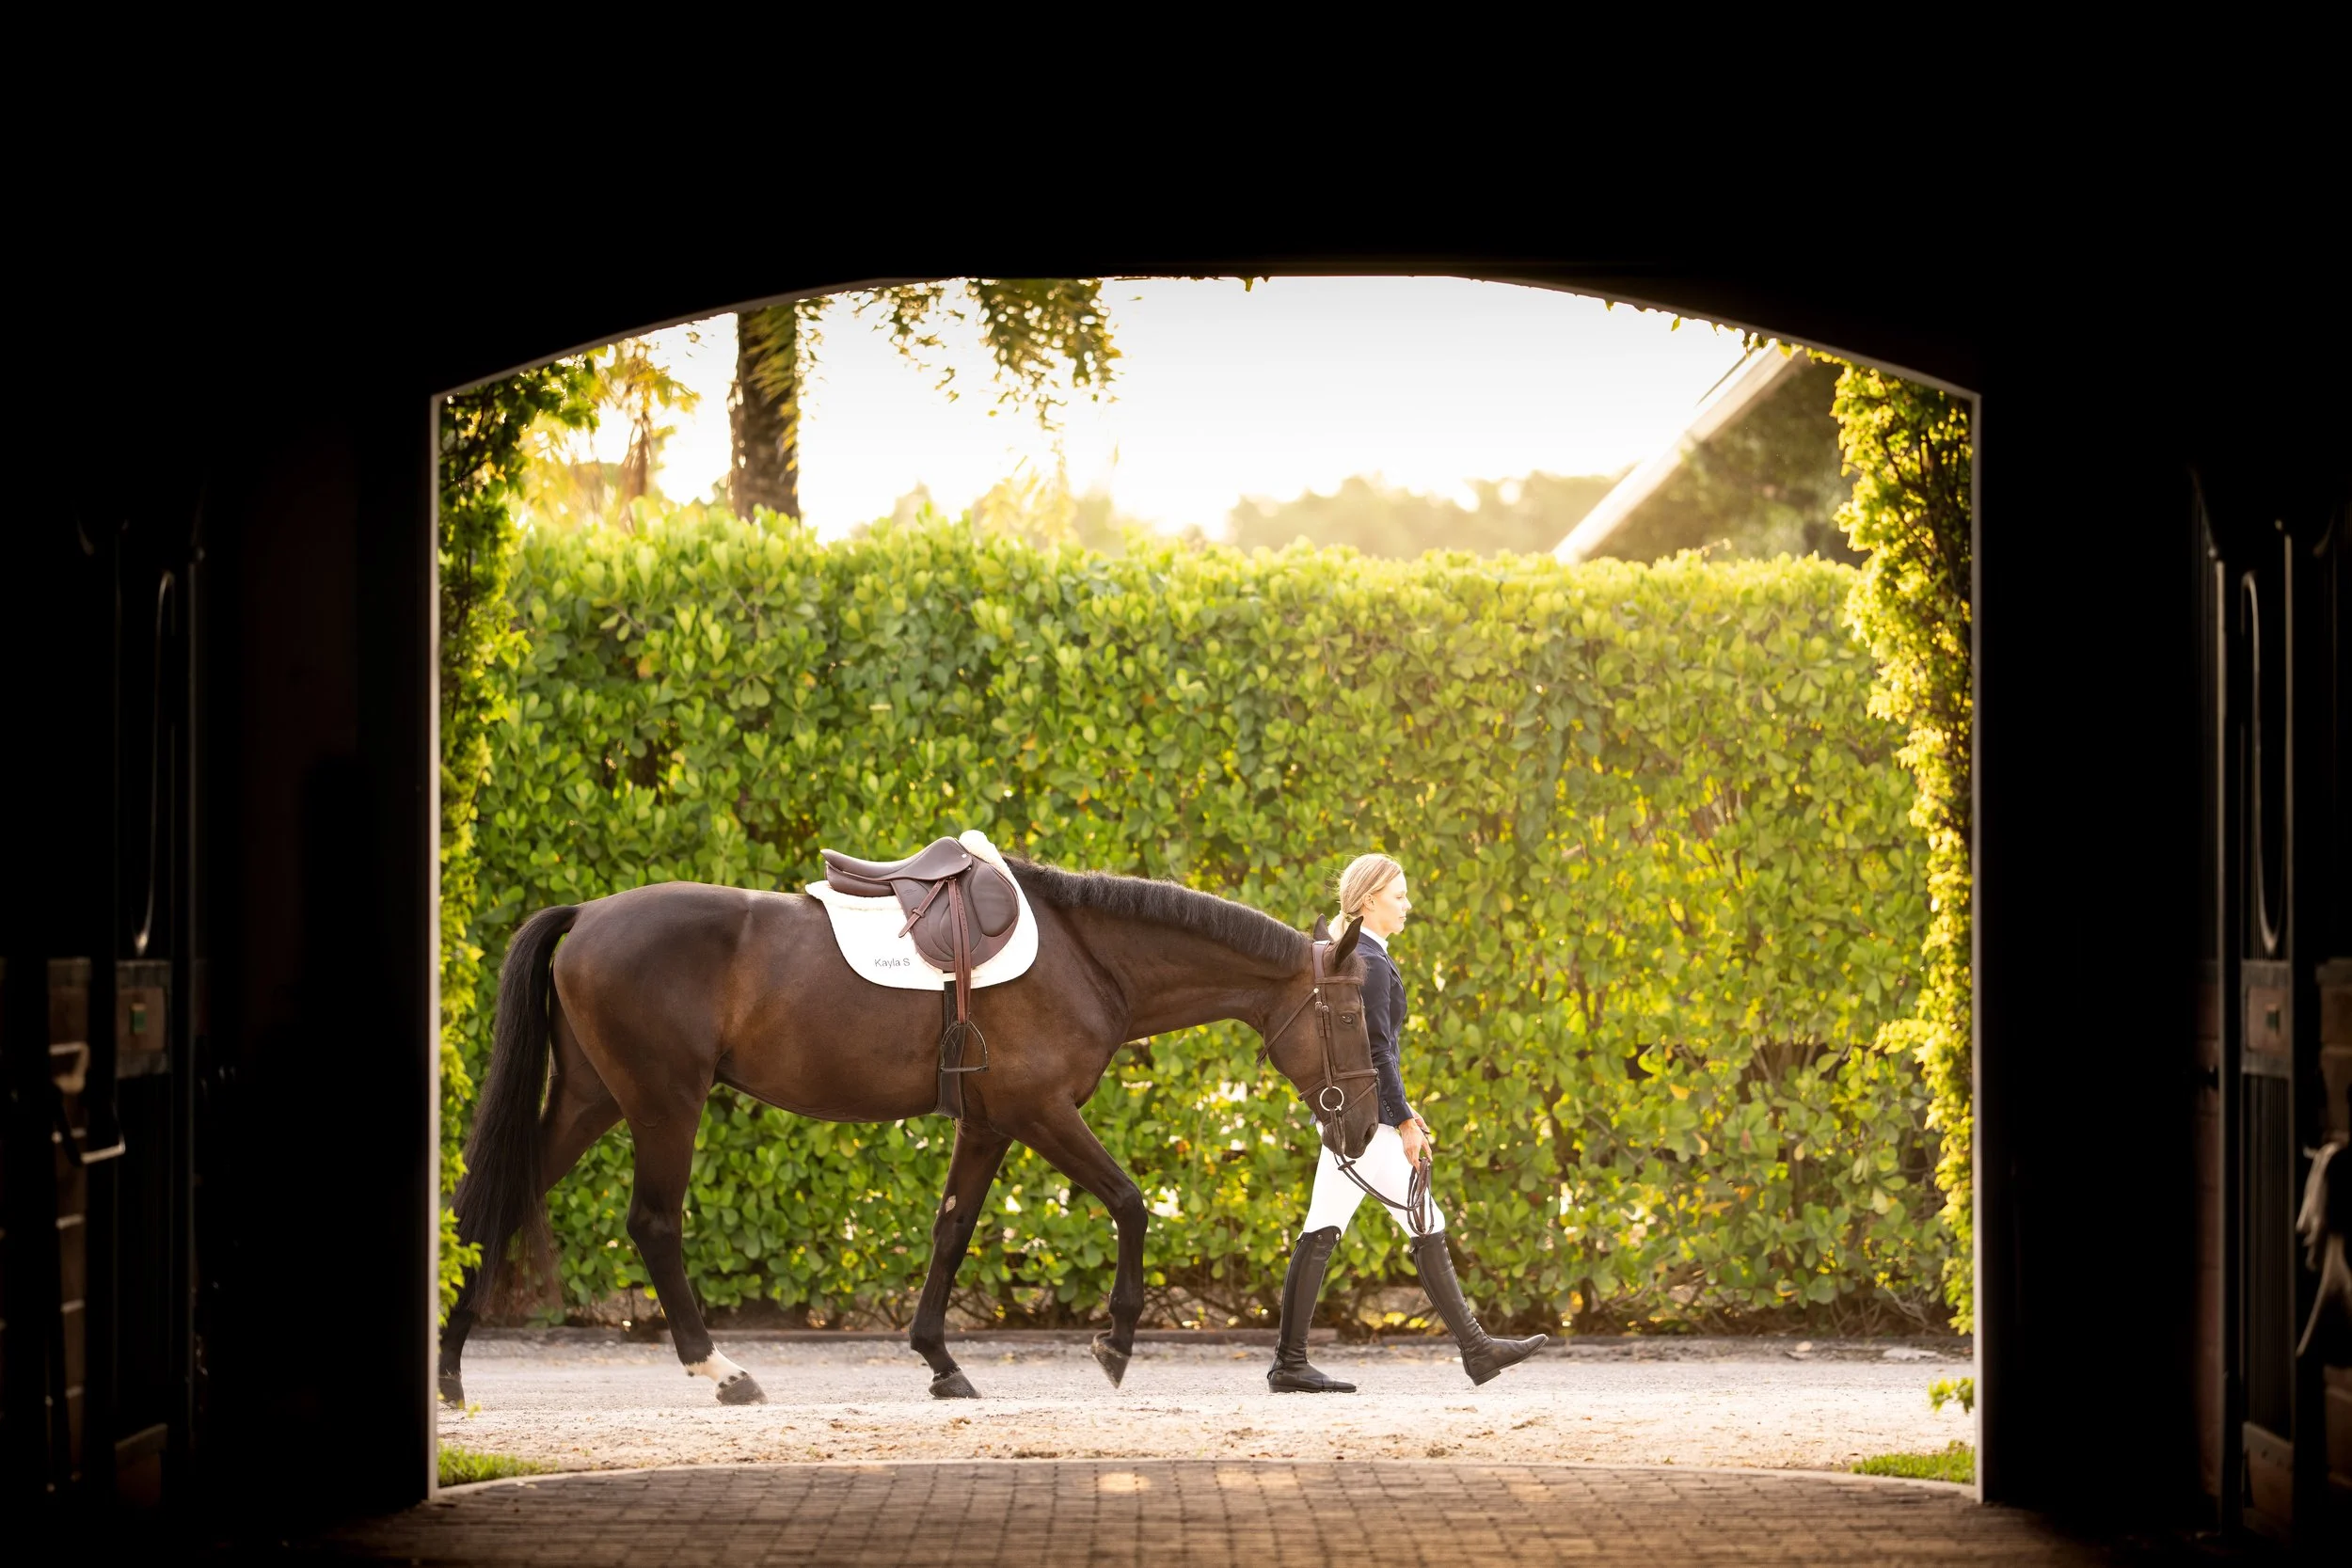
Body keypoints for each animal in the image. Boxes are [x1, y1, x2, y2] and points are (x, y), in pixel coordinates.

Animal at [437, 858, 1380, 1405]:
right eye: (1347, 1012)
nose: (1369, 1121)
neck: (1087, 955)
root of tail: (588, 914)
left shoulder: (992, 1124)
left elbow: (952, 1230)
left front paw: (940, 1360)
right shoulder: (1042, 1111)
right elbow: (1130, 1200)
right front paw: (1114, 1341)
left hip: (592, 1098)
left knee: (492, 1203)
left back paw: (449, 1366)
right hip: (664, 1101)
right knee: (654, 1224)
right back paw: (721, 1369)